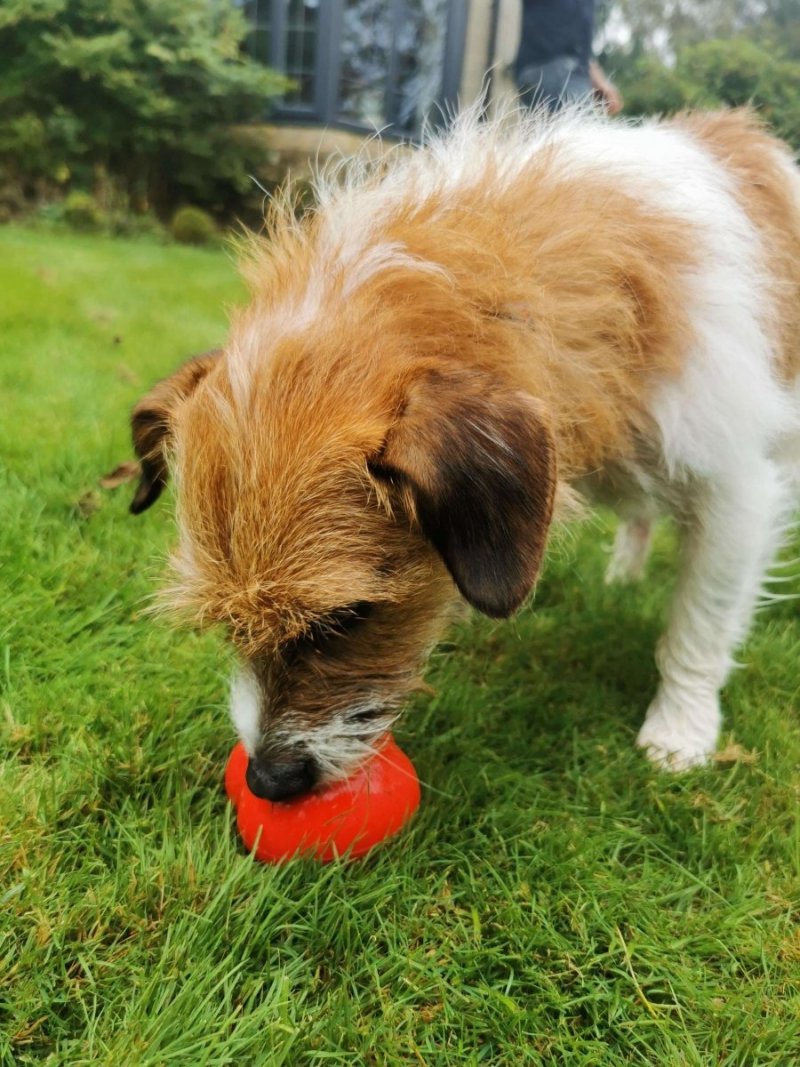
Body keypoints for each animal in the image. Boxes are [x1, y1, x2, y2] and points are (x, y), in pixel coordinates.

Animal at [130, 108, 800, 802]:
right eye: (225, 624)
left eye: (346, 619)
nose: (267, 780)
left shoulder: (737, 494)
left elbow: (699, 622)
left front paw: (680, 729)